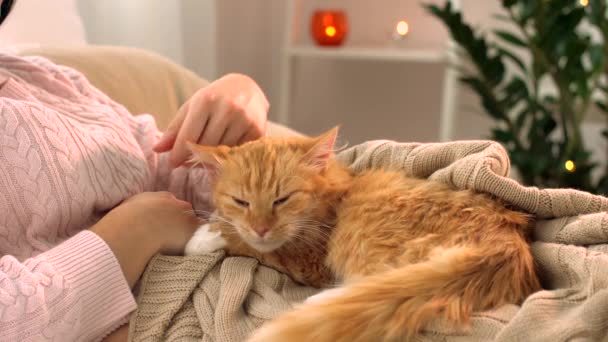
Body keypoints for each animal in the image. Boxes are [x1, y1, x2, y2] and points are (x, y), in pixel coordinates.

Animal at [183, 128, 540, 342]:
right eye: (241, 201)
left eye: (282, 199)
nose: (261, 227)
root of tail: (505, 242)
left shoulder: (311, 260)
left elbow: (261, 247)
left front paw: (205, 235)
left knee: (371, 287)